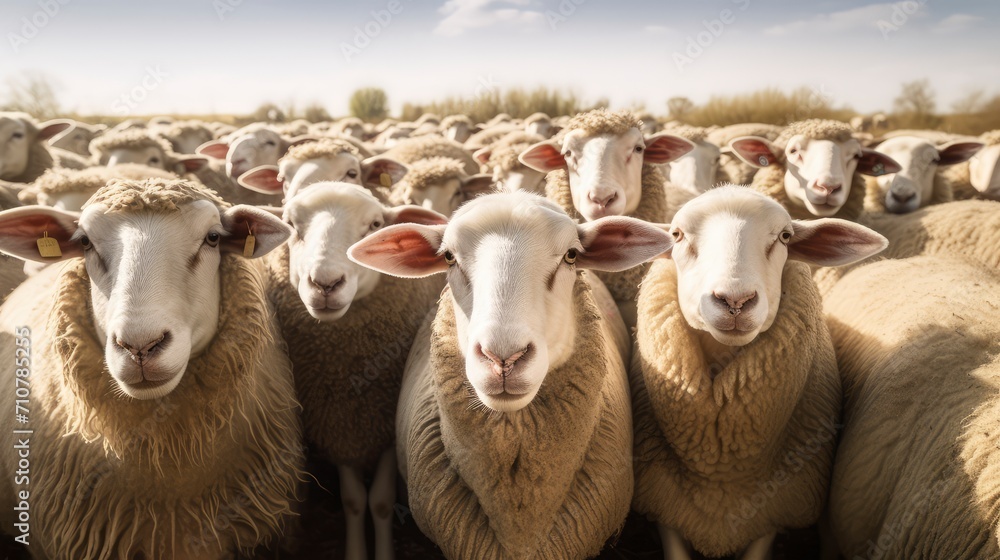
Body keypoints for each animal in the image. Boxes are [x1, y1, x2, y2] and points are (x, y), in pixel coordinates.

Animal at [264, 181, 447, 560]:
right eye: (290, 224)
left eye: (375, 224)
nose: (325, 284)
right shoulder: (342, 424)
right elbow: (353, 500)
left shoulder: (386, 425)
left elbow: (380, 502)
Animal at [630, 185, 887, 560]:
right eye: (676, 235)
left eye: (784, 236)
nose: (735, 301)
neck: (721, 470)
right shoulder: (663, 503)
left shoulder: (773, 510)